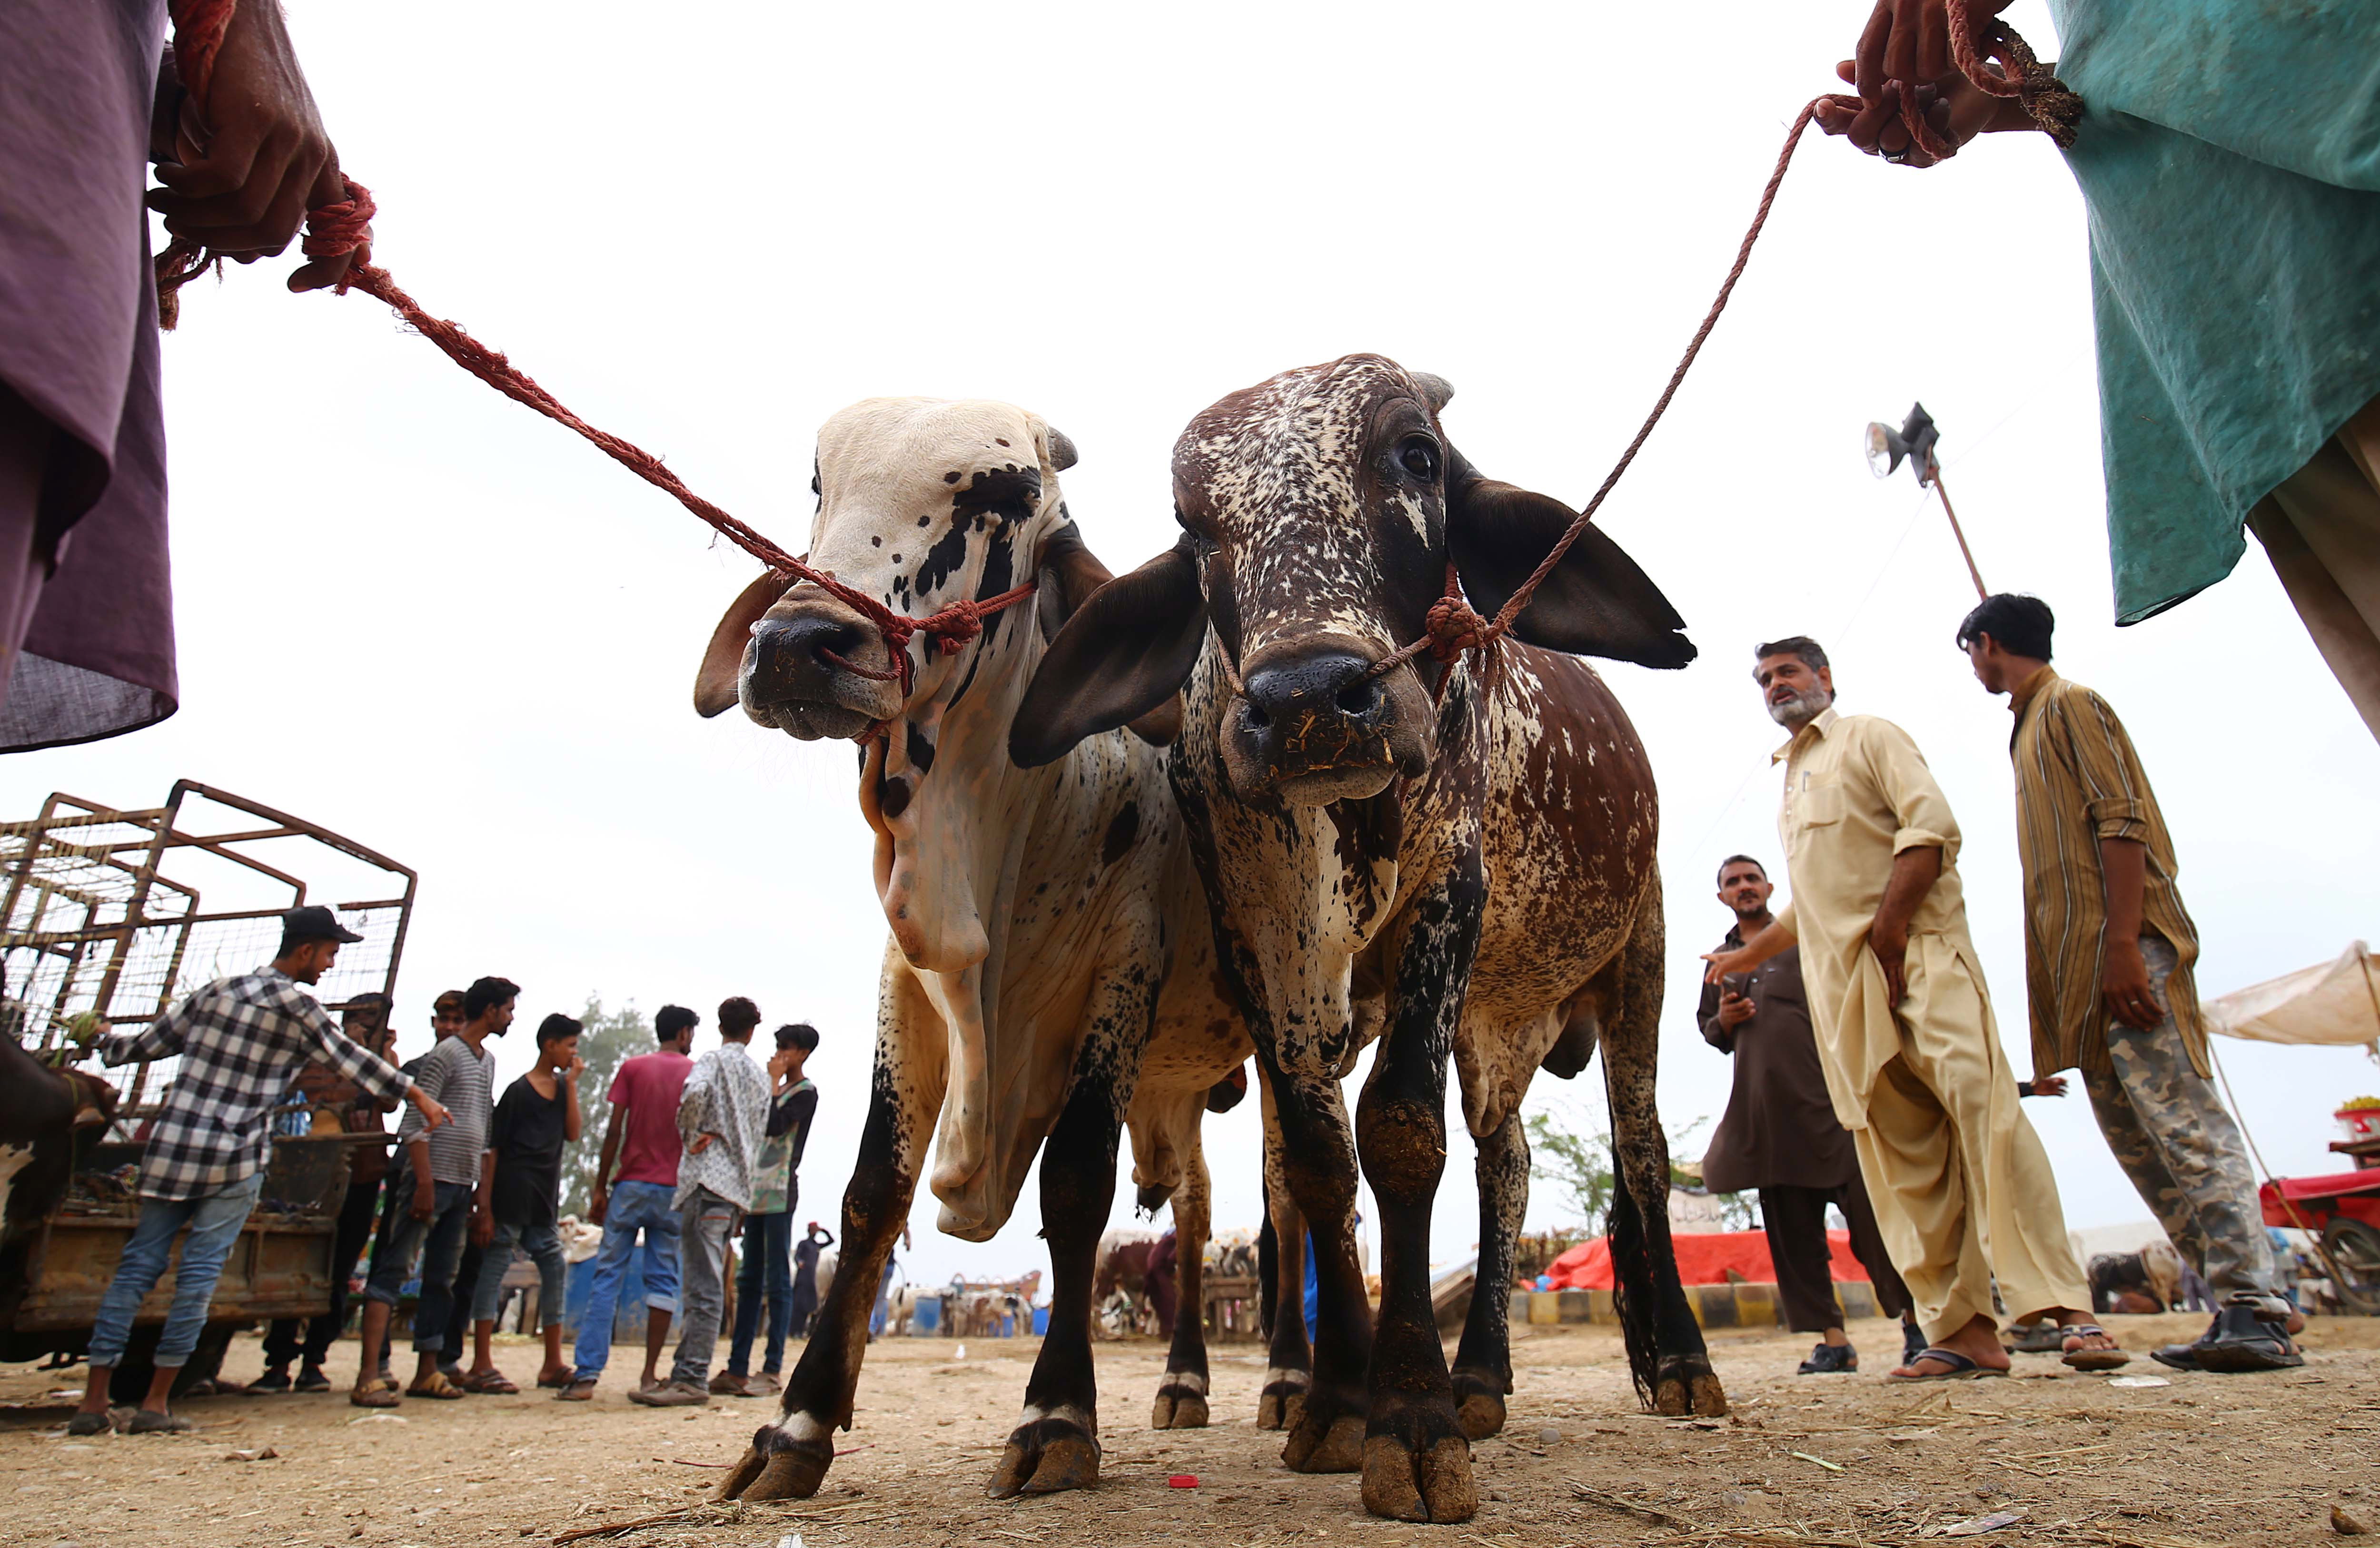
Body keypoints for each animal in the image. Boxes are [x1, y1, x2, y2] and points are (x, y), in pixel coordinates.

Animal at [1014, 354, 1723, 1522]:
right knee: (1507, 1164)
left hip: (1641, 958)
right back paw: (1482, 1376)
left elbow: (1399, 1133)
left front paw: (1412, 1419)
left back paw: (1679, 1362)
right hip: (1495, 1024)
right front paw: (1342, 1402)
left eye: (1416, 455)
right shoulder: (1265, 942)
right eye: (1191, 521)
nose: (1308, 700)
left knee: (1643, 1156)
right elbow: (1318, 1167)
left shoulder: (1446, 896)